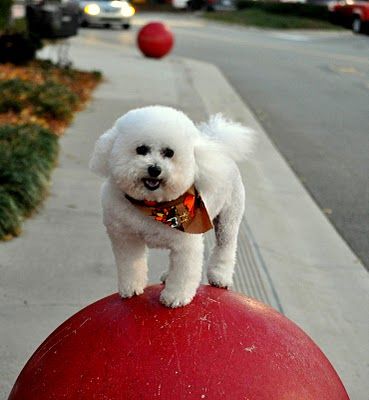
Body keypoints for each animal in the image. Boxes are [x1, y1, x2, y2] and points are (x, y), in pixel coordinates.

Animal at [90, 104, 254, 308]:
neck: (154, 204)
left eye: (169, 153)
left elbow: (184, 273)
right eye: (141, 149)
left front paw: (175, 297)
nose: (154, 169)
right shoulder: (126, 237)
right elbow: (130, 264)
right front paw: (131, 287)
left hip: (228, 218)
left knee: (226, 246)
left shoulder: (187, 244)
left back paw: (219, 276)